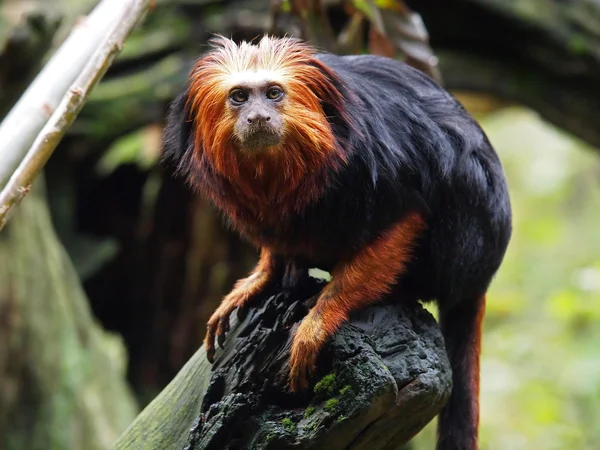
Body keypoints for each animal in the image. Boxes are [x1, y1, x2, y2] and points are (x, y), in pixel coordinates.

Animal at [163, 35, 510, 450]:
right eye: (240, 97)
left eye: (274, 93)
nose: (258, 117)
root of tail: (483, 275)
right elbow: (277, 234)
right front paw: (261, 276)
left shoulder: (377, 167)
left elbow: (404, 217)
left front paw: (320, 319)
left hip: (465, 239)